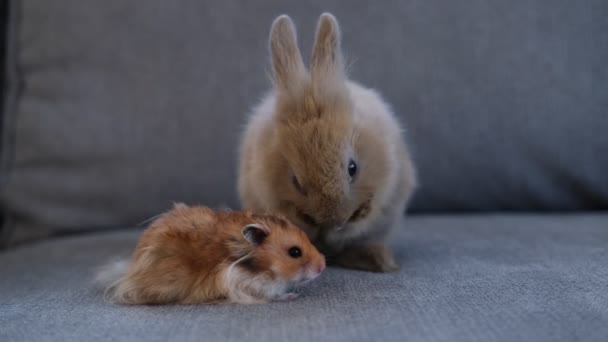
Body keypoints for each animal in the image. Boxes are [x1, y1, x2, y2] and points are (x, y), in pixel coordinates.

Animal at [98, 203, 328, 304]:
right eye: (295, 252)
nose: (323, 266)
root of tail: (130, 270)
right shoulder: (251, 284)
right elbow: (275, 294)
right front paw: (293, 295)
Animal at [239, 13, 418, 274]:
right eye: (296, 181)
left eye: (353, 168)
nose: (333, 219)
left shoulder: (382, 193)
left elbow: (363, 218)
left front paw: (336, 234)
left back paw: (375, 261)